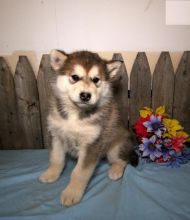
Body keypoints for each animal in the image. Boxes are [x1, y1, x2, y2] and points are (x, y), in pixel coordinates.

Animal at [39, 49, 138, 206]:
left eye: (96, 80)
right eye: (75, 77)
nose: (85, 95)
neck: (76, 114)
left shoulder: (92, 144)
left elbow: (80, 172)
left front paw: (71, 193)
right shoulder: (56, 136)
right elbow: (56, 159)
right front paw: (51, 174)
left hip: (115, 148)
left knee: (123, 159)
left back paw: (115, 170)